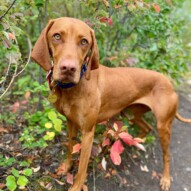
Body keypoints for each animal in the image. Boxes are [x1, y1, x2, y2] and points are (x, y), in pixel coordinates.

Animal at [31, 17, 191, 190]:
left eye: (84, 41)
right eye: (57, 36)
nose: (68, 68)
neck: (73, 87)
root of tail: (169, 83)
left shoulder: (88, 132)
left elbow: (82, 168)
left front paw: (76, 186)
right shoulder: (71, 122)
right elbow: (70, 148)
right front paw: (66, 167)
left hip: (163, 125)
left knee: (166, 154)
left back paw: (166, 179)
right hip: (131, 113)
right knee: (147, 128)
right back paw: (133, 142)